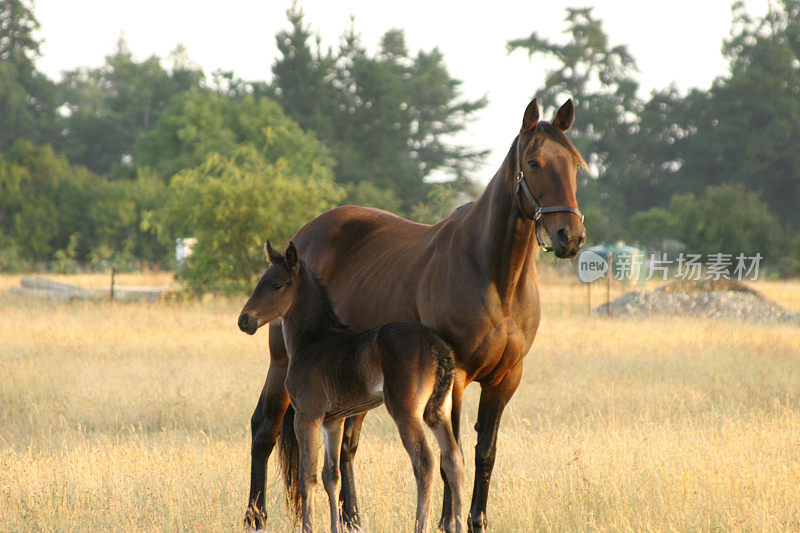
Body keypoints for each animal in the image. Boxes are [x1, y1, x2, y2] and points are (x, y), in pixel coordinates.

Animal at [238, 242, 466, 532]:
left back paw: (420, 525)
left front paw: (308, 527)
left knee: (424, 461)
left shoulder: (307, 415)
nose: (244, 321)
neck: (311, 340)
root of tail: (437, 346)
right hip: (438, 411)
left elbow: (307, 475)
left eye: (276, 284)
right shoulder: (332, 420)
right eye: (259, 282)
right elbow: (330, 476)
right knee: (453, 460)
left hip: (406, 411)